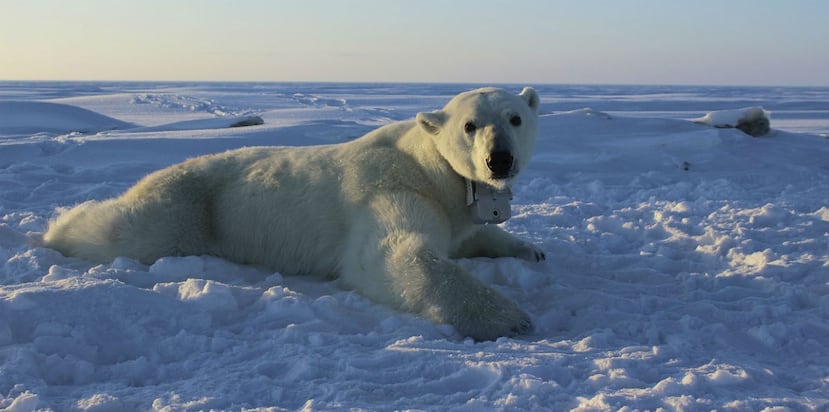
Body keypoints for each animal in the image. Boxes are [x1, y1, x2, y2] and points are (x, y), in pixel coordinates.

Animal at [43, 86, 544, 338]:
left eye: (515, 118)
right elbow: (394, 255)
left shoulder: (452, 206)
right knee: (124, 230)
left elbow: (471, 234)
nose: (499, 160)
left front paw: (529, 250)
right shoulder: (391, 190)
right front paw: (510, 318)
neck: (428, 166)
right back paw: (54, 229)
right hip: (187, 208)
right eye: (470, 124)